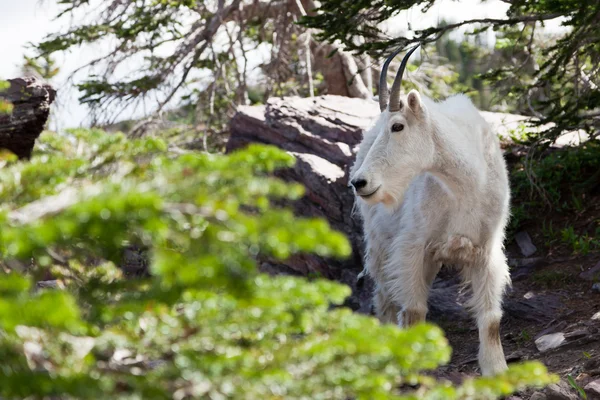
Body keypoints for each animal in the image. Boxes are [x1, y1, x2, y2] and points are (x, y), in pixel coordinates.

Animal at [352, 43, 510, 376]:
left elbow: (490, 318)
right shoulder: (413, 245)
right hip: (380, 242)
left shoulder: (485, 250)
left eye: (398, 126)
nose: (359, 182)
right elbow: (413, 309)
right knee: (384, 296)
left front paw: (497, 370)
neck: (466, 183)